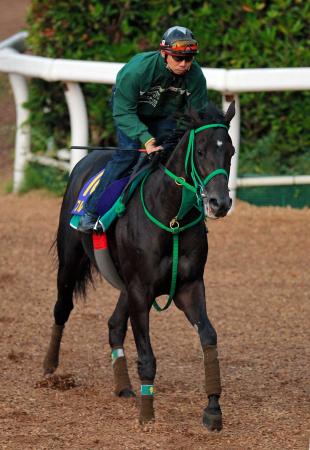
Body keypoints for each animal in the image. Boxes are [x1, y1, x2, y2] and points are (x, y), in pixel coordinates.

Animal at [43, 101, 235, 428]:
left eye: (231, 151)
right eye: (200, 151)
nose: (219, 203)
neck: (171, 218)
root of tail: (87, 159)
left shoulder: (189, 286)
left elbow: (209, 337)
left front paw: (213, 409)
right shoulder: (140, 291)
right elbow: (147, 357)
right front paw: (147, 413)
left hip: (124, 284)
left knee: (114, 325)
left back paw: (123, 386)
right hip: (71, 262)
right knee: (62, 308)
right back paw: (49, 365)